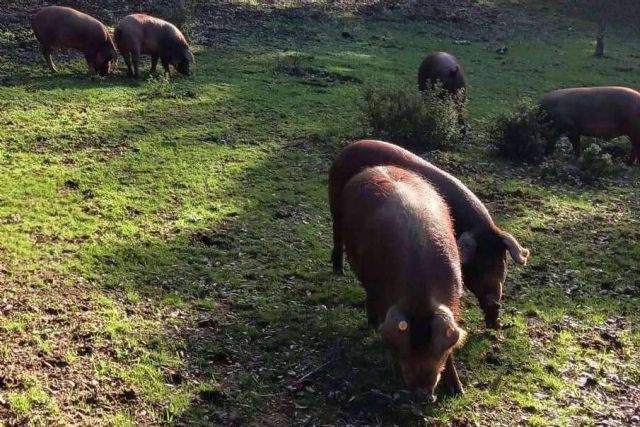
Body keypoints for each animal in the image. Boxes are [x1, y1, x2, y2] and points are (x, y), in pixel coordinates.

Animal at [330, 140, 528, 328]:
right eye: (477, 266)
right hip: (335, 205)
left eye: (501, 264)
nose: (494, 303)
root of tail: (348, 148)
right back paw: (339, 271)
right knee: (337, 236)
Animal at [342, 165, 468, 402]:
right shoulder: (384, 299)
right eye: (407, 347)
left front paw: (458, 391)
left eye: (433, 347)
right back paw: (372, 323)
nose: (423, 394)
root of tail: (375, 168)